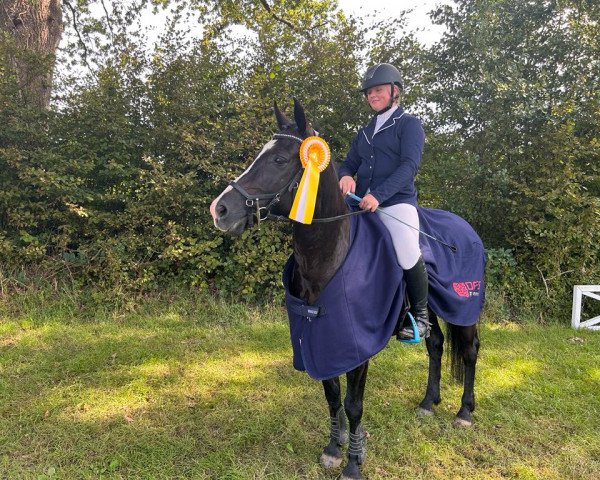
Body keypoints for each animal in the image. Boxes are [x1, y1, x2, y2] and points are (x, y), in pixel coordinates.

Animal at [210, 99, 482, 478]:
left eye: (279, 159)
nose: (220, 210)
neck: (329, 253)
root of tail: (466, 228)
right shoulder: (319, 335)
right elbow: (332, 396)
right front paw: (333, 448)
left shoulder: (356, 345)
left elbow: (353, 404)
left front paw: (353, 462)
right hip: (432, 308)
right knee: (436, 343)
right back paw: (428, 403)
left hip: (463, 306)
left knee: (469, 351)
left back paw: (465, 412)